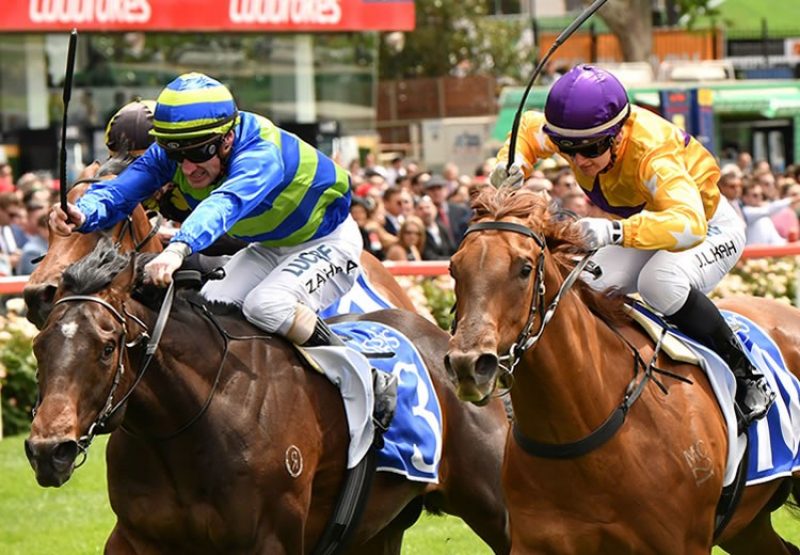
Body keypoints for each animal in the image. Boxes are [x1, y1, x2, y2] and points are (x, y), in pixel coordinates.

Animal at [28, 241, 510, 552]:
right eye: (38, 344)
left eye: (107, 347)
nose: (48, 449)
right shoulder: (136, 537)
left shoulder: (271, 538)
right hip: (377, 531)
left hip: (497, 505)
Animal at [444, 186, 800, 552]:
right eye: (454, 267)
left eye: (525, 268)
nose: (469, 365)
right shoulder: (534, 542)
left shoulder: (683, 544)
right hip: (748, 527)